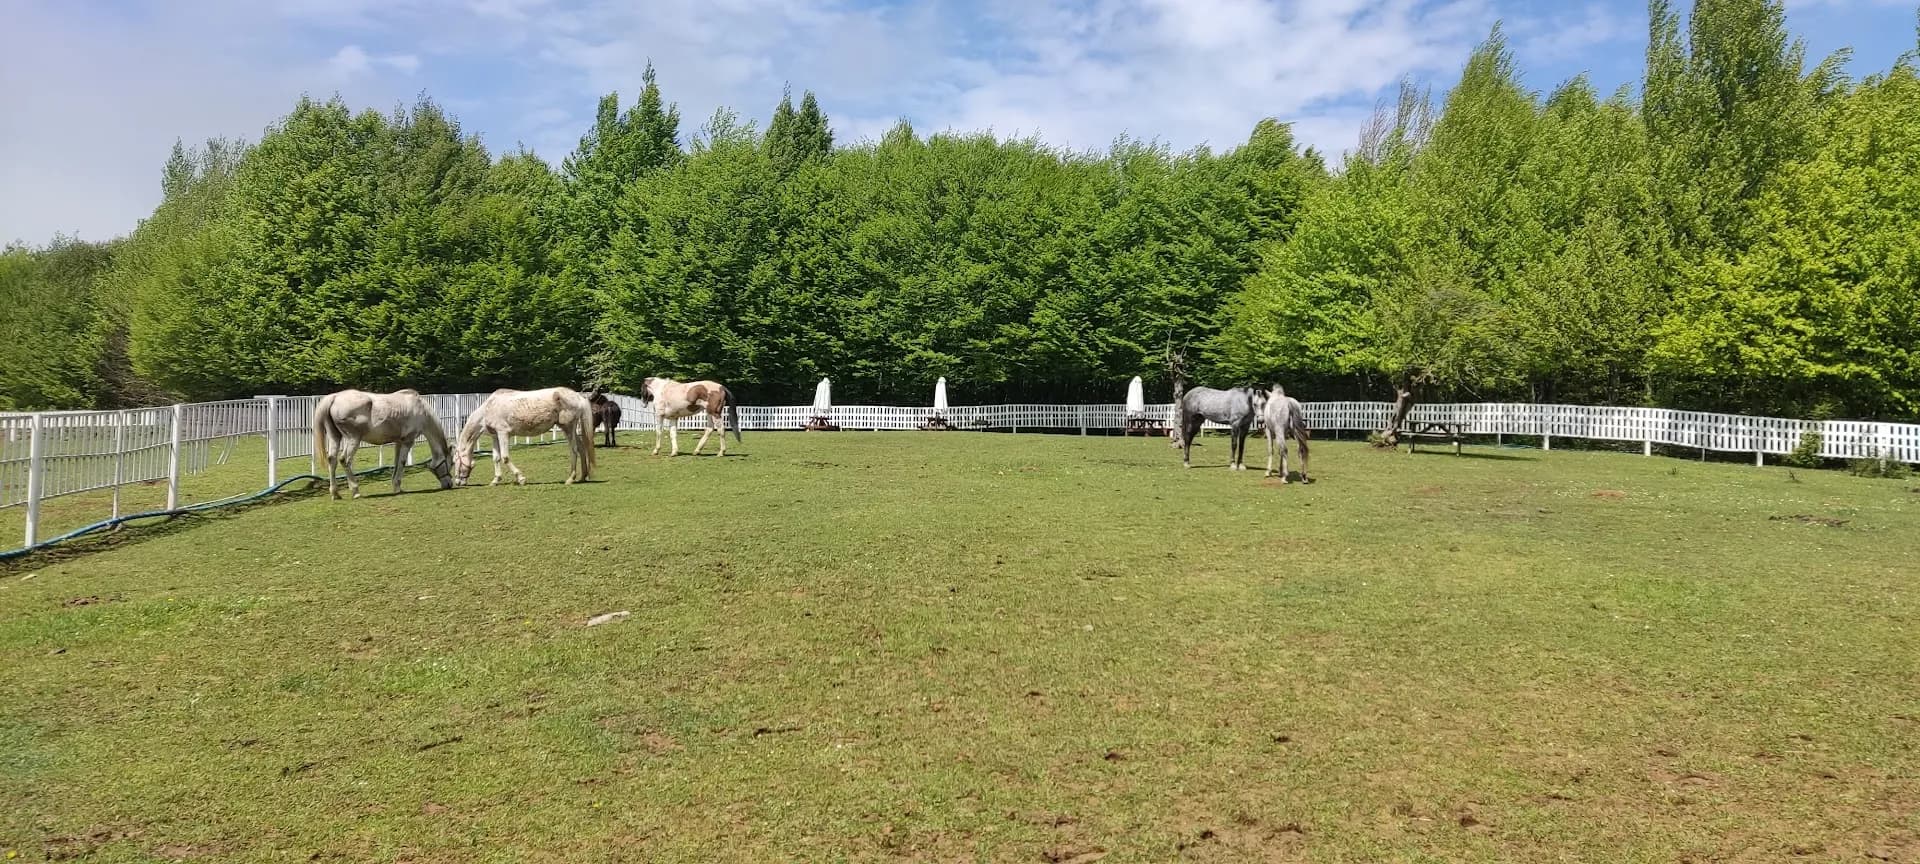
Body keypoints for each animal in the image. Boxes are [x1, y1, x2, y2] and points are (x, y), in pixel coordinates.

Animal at [311, 388, 453, 500]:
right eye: (450, 463)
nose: (450, 484)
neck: (420, 410)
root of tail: (334, 397)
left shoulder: (399, 441)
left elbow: (396, 462)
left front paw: (396, 485)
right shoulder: (408, 441)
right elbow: (402, 462)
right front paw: (397, 486)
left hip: (335, 436)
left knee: (332, 460)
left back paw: (335, 493)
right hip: (353, 439)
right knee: (344, 459)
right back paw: (355, 491)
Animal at [452, 387, 596, 486]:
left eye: (455, 461)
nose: (458, 482)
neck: (489, 408)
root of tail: (578, 397)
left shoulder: (503, 433)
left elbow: (505, 457)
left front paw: (521, 478)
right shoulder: (495, 436)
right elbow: (496, 458)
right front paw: (495, 480)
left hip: (568, 427)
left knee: (574, 450)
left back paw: (570, 479)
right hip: (570, 429)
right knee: (581, 448)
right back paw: (583, 477)